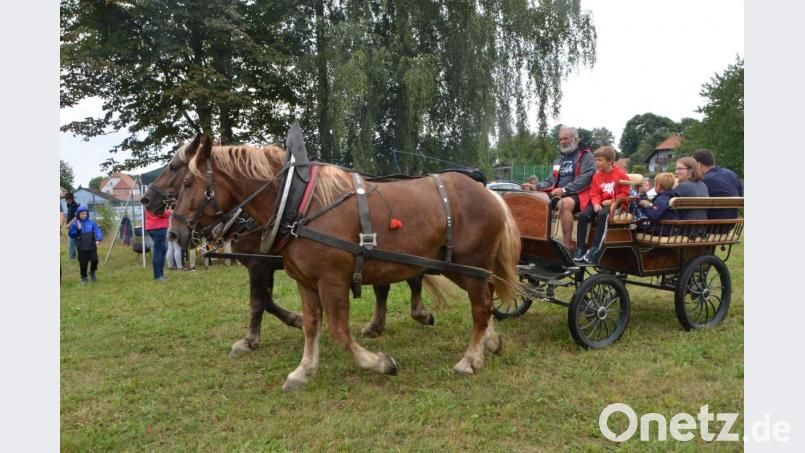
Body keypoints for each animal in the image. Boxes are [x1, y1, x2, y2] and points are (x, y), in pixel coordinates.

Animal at [141, 137, 436, 357]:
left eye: (175, 168)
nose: (146, 200)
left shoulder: (259, 264)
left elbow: (257, 302)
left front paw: (249, 340)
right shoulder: (266, 265)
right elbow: (268, 301)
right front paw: (295, 320)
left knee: (410, 279)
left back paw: (418, 313)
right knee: (386, 285)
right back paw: (378, 325)